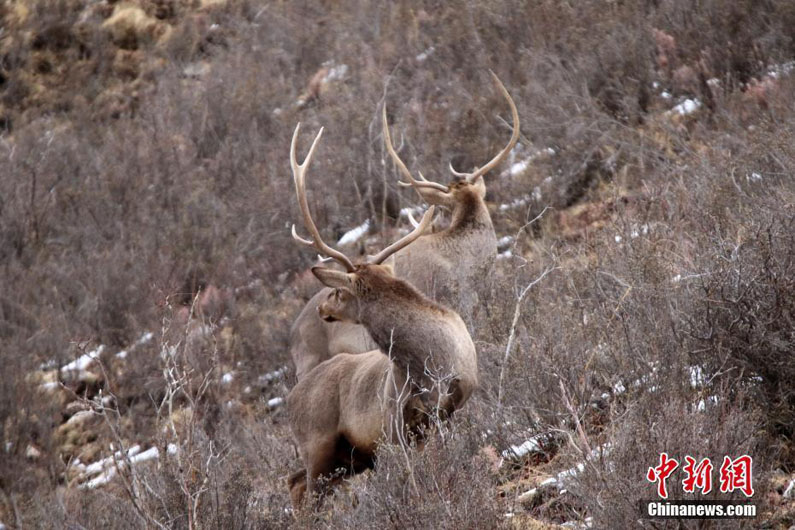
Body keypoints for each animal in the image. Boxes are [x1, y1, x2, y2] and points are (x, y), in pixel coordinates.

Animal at [286, 121, 478, 506]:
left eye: (339, 291)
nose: (323, 307)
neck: (431, 361)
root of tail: (289, 400)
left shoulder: (452, 404)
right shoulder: (393, 422)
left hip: (344, 459)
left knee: (294, 483)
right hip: (317, 445)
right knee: (302, 491)